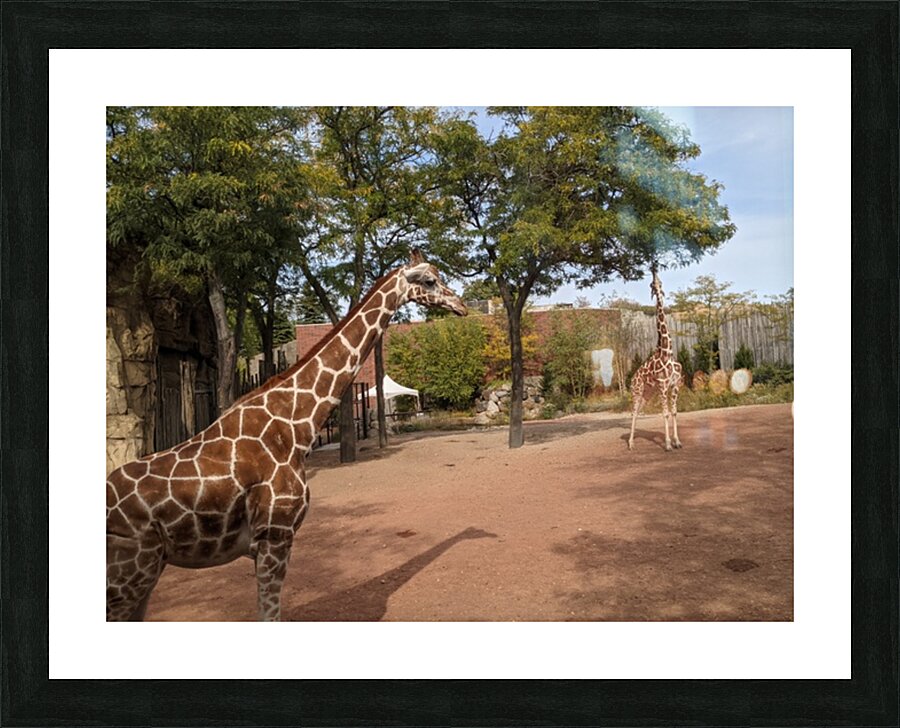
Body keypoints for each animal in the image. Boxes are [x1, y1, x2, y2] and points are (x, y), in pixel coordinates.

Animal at [106, 251, 467, 622]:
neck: (295, 427)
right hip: (128, 571)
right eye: (429, 280)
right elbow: (270, 615)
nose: (461, 306)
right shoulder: (274, 537)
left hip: (147, 569)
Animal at [627, 265, 683, 452]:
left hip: (647, 394)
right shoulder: (663, 386)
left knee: (638, 412)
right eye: (652, 284)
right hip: (637, 391)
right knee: (633, 412)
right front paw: (668, 444)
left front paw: (677, 441)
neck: (668, 351)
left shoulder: (675, 385)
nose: (653, 269)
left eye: (660, 282)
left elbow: (674, 412)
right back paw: (630, 443)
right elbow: (665, 413)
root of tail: (632, 378)